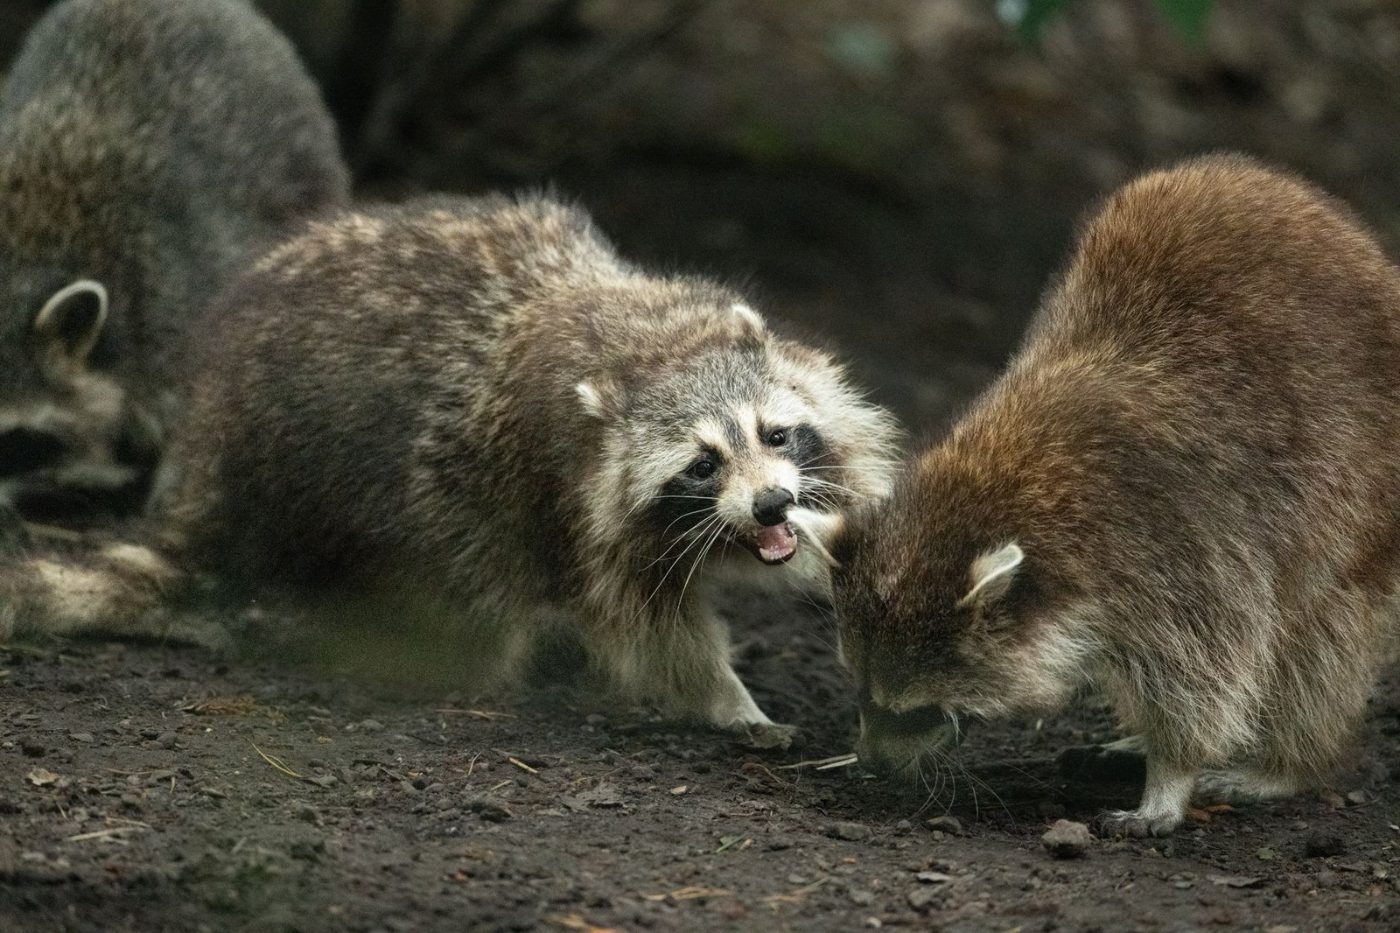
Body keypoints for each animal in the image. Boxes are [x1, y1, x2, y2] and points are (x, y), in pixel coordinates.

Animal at [0, 194, 899, 745]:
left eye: (776, 435)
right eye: (703, 465)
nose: (771, 506)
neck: (652, 346)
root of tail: (211, 457)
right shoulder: (568, 489)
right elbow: (651, 627)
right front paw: (728, 700)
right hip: (355, 484)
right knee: (462, 566)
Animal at [830, 154, 1400, 835]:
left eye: (917, 710)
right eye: (860, 692)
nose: (870, 764)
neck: (999, 480)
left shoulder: (1183, 545)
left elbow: (1209, 668)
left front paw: (1171, 776)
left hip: (1364, 487)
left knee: (1320, 640)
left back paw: (1285, 763)